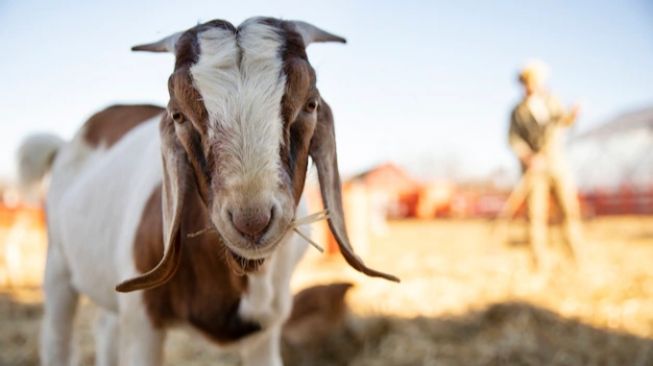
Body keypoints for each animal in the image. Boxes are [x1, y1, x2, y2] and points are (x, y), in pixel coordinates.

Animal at [17, 17, 398, 366]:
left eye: (310, 104)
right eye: (178, 115)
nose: (251, 222)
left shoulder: (267, 328)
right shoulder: (143, 322)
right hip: (58, 265)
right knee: (57, 335)